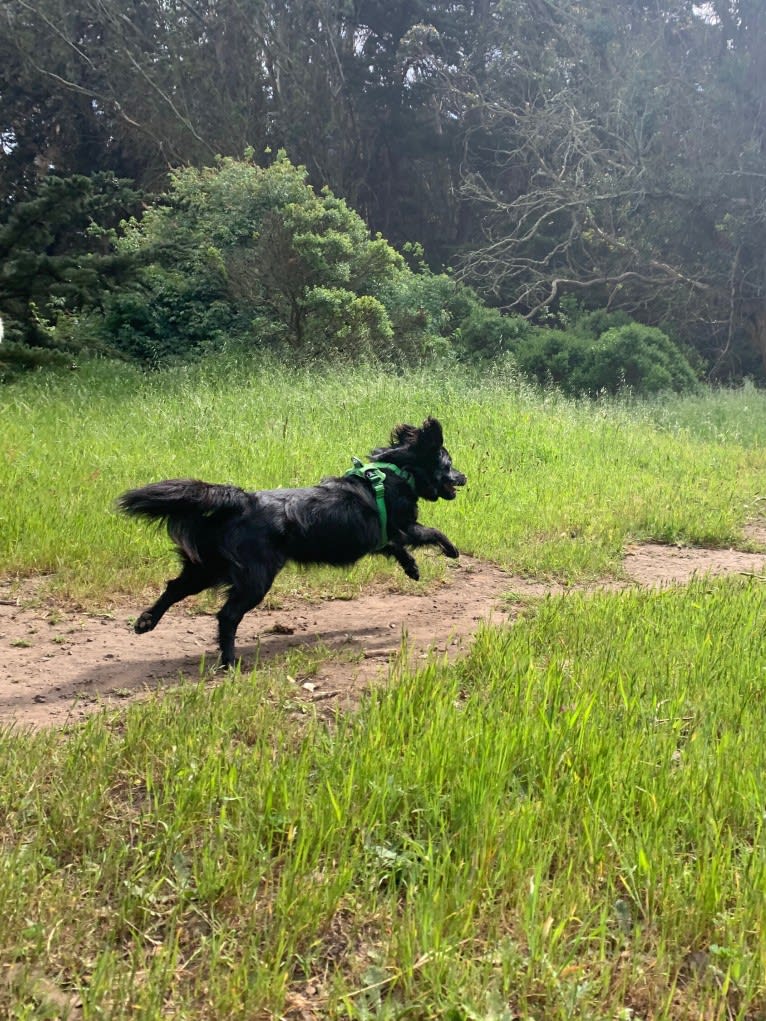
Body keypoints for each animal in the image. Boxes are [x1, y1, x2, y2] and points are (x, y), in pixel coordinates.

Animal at [119, 418, 467, 665]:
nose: (465, 477)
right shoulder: (402, 526)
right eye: (449, 464)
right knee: (227, 616)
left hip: (206, 567)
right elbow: (430, 532)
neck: (395, 472)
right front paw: (452, 550)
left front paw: (412, 568)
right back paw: (229, 661)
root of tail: (242, 501)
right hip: (254, 578)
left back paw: (146, 621)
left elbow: (397, 549)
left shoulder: (382, 537)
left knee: (174, 588)